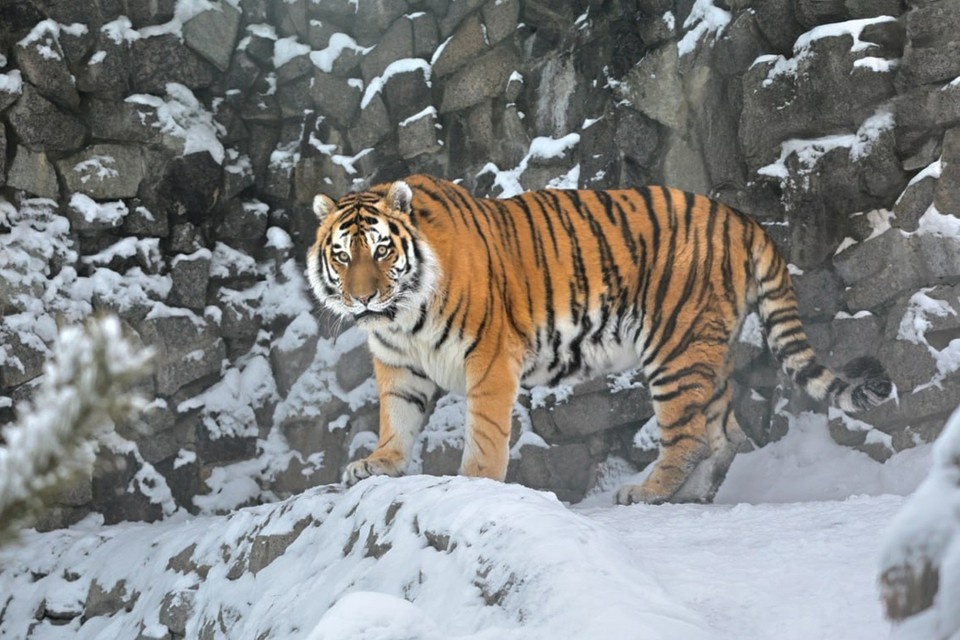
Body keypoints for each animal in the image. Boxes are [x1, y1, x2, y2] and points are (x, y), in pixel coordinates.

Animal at [305, 174, 893, 504]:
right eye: (343, 255)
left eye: (382, 250)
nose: (363, 299)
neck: (401, 317)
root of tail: (741, 217)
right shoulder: (399, 365)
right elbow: (397, 419)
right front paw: (379, 463)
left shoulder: (489, 357)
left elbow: (486, 433)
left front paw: (474, 481)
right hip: (709, 350)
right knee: (727, 435)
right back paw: (693, 496)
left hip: (674, 346)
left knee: (691, 436)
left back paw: (646, 493)